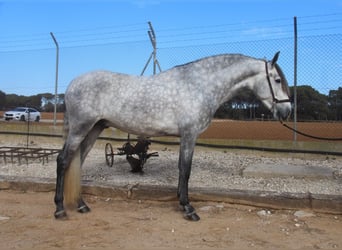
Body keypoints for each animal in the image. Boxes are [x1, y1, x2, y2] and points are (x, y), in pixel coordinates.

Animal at [54, 51, 292, 221]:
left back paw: (82, 205)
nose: (287, 111)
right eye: (278, 80)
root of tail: (72, 84)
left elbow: (182, 169)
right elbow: (185, 170)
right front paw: (188, 208)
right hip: (80, 128)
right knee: (63, 160)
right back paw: (59, 209)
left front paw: (182, 202)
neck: (200, 85)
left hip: (94, 129)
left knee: (77, 162)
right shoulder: (189, 134)